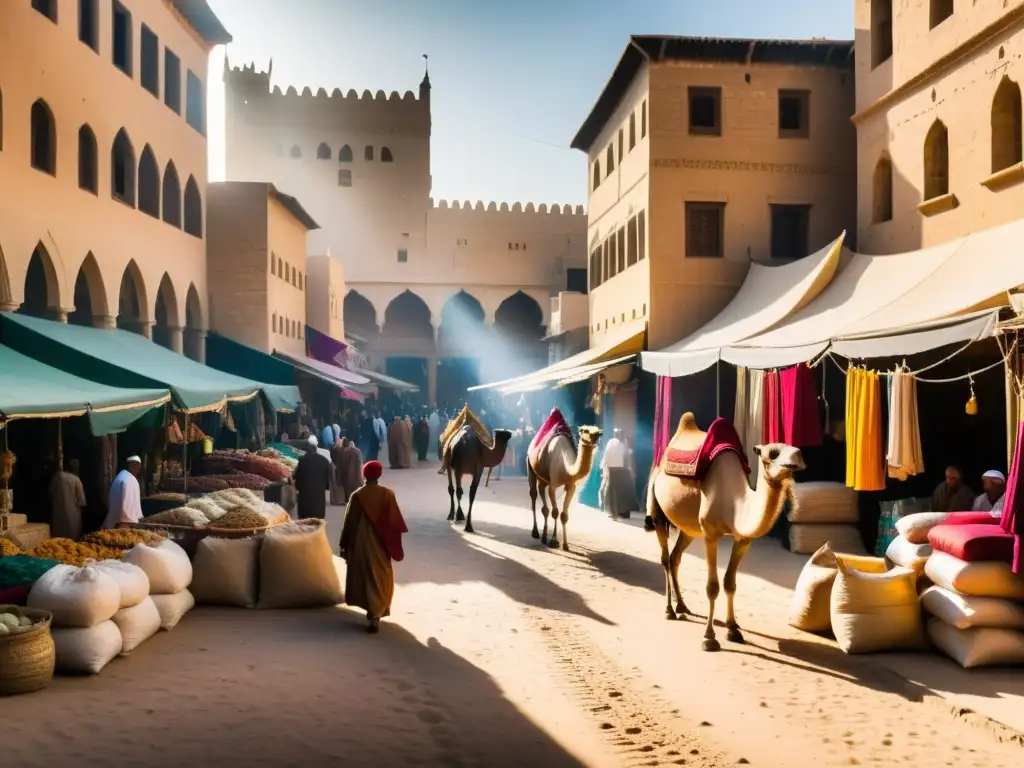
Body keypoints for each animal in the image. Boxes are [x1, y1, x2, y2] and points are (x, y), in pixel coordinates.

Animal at [528, 409, 598, 552]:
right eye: (584, 430)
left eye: (599, 431)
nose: (596, 436)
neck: (566, 467)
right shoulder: (553, 485)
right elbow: (555, 512)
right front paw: (554, 541)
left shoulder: (571, 486)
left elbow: (564, 515)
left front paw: (565, 545)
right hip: (530, 465)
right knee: (534, 495)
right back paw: (536, 532)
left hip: (544, 477)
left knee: (543, 498)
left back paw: (544, 535)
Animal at [643, 411, 802, 651]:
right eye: (773, 453)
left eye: (796, 449)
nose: (797, 458)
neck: (736, 502)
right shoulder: (711, 535)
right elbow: (712, 587)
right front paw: (709, 638)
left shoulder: (743, 539)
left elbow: (730, 583)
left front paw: (733, 629)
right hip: (657, 510)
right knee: (664, 558)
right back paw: (669, 610)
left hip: (690, 530)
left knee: (675, 558)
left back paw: (682, 607)